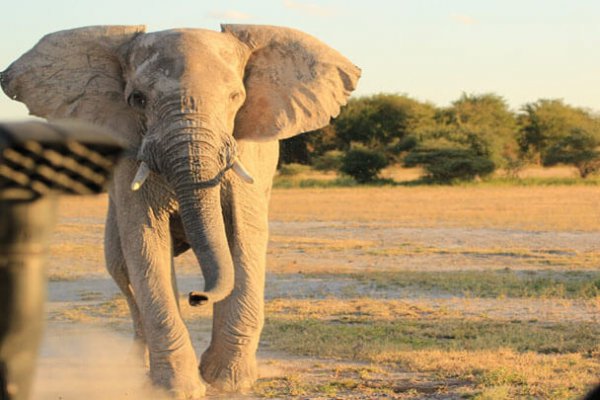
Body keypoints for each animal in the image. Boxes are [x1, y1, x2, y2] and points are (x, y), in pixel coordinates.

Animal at [0, 24, 358, 396]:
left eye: (235, 98)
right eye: (137, 100)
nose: (196, 296)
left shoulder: (247, 154)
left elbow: (244, 237)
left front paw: (227, 382)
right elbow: (145, 244)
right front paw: (179, 389)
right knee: (121, 268)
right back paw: (135, 368)